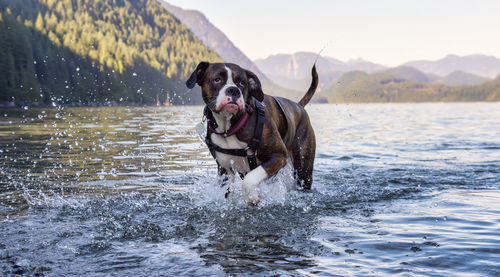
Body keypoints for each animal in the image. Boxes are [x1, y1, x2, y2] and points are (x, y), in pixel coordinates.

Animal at [186, 63, 318, 205]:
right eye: (217, 80)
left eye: (242, 82)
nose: (234, 90)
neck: (229, 127)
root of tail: (299, 106)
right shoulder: (224, 169)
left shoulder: (278, 156)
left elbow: (249, 179)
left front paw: (251, 196)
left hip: (303, 169)